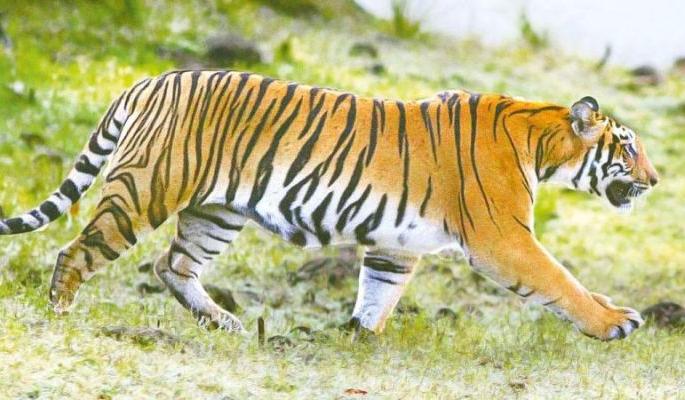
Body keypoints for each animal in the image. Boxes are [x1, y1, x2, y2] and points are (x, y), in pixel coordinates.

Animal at [0, 70, 659, 340]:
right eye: (628, 146)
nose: (654, 180)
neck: (541, 140)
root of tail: (152, 79)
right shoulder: (504, 237)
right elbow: (561, 281)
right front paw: (613, 324)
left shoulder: (398, 242)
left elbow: (378, 292)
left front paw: (361, 337)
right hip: (146, 188)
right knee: (77, 251)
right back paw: (61, 313)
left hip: (216, 213)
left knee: (172, 264)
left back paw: (224, 323)